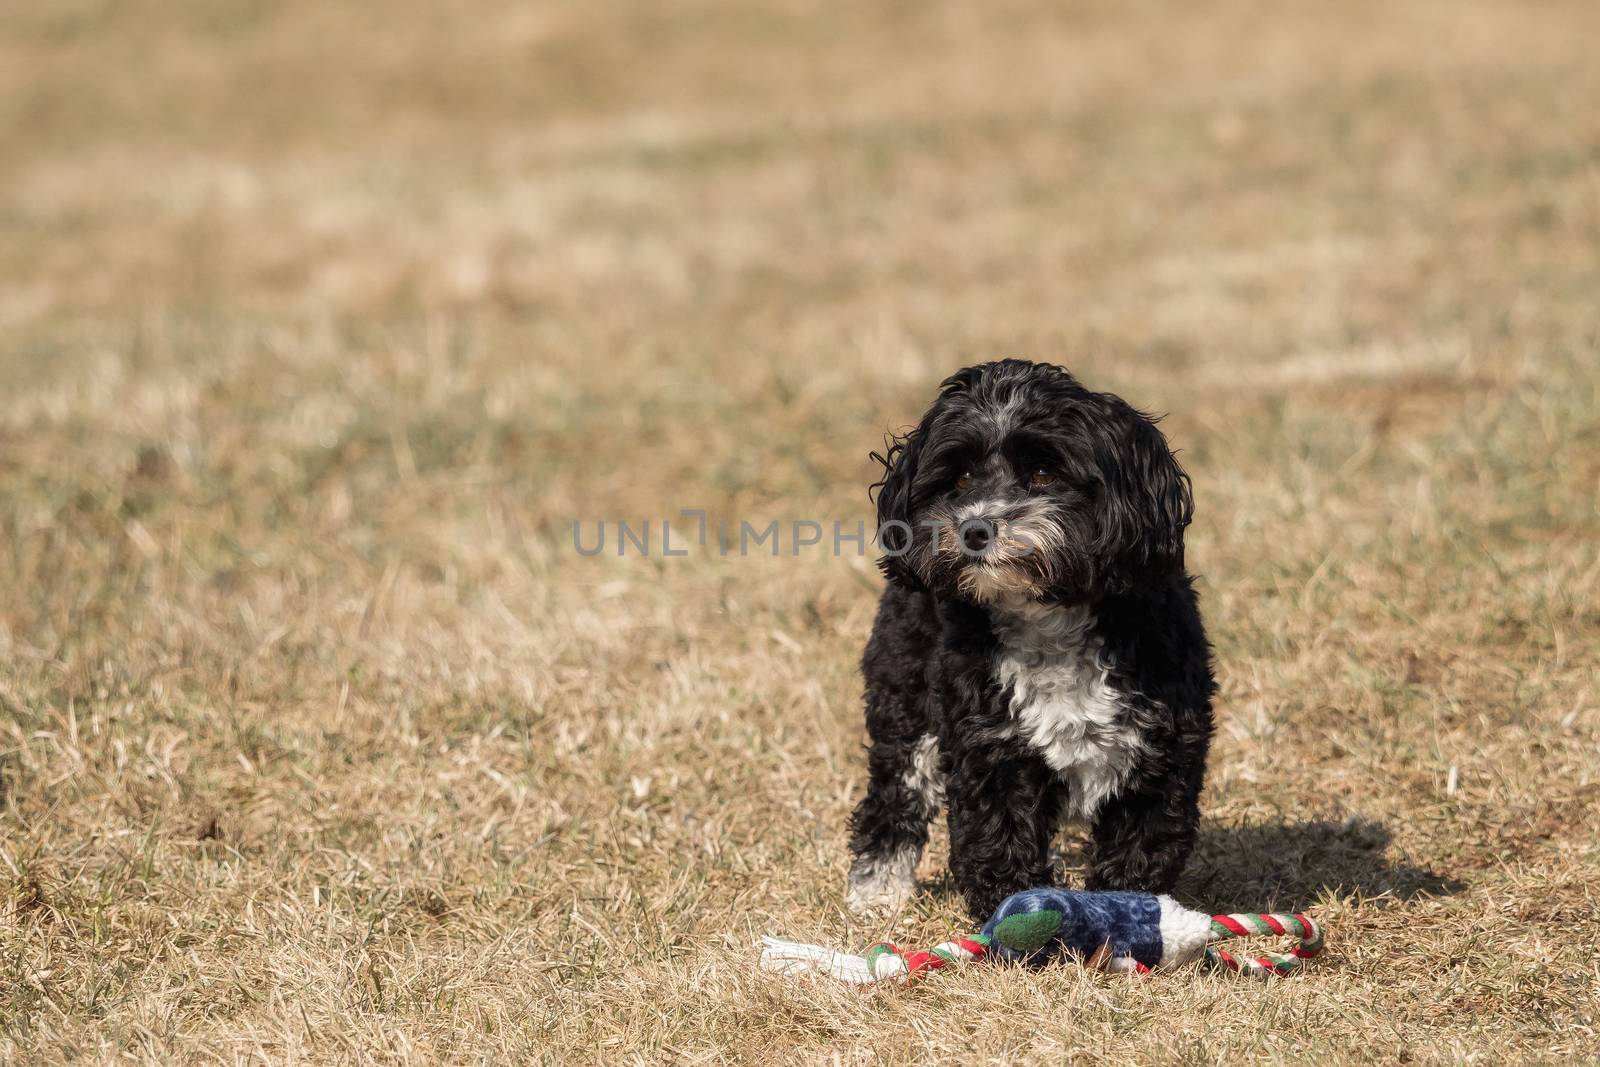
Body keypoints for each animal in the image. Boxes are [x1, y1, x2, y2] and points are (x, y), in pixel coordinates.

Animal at [851, 356, 1209, 921]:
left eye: (1043, 473)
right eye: (961, 477)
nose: (975, 529)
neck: (1047, 619)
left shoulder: (1160, 752)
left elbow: (1140, 848)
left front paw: (1125, 913)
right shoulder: (990, 751)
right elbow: (1000, 840)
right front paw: (1021, 914)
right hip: (904, 705)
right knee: (895, 794)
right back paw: (876, 889)